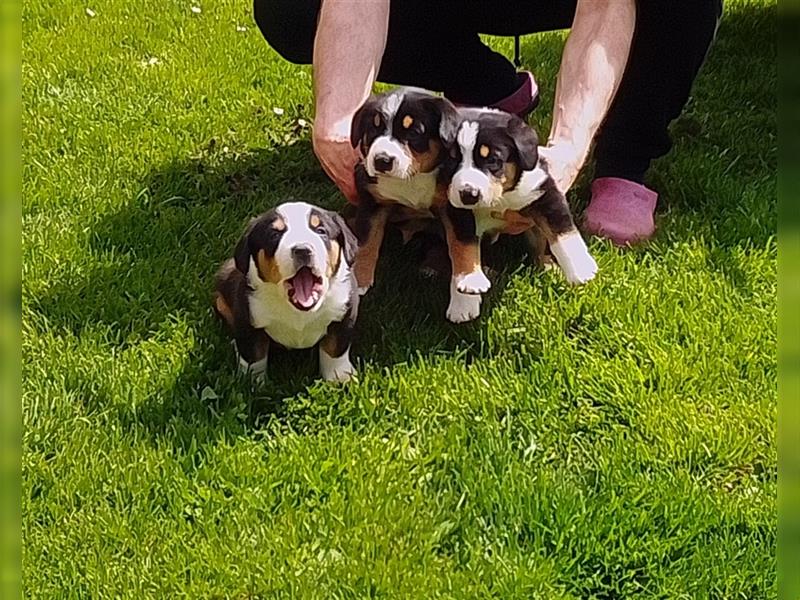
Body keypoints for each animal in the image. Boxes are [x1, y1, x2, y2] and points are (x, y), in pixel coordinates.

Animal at [216, 200, 360, 380]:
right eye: (274, 235)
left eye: (321, 231)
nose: (303, 249)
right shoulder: (247, 315)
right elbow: (254, 355)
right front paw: (251, 380)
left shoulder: (345, 311)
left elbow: (335, 348)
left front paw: (339, 377)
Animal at [440, 108, 596, 324]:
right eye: (452, 160)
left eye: (492, 160)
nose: (469, 194)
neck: (500, 198)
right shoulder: (456, 210)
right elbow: (462, 249)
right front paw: (465, 296)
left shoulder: (543, 191)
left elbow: (562, 229)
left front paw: (581, 268)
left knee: (538, 246)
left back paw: (549, 267)